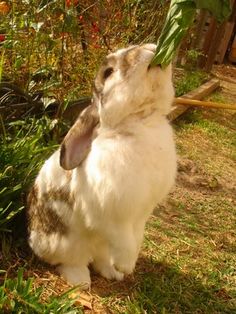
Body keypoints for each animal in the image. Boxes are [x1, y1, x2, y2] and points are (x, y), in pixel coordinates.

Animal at [26, 43, 176, 288]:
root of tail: (32, 239)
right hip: (66, 244)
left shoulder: (141, 214)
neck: (139, 121)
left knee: (100, 259)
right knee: (71, 262)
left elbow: (137, 237)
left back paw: (112, 273)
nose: (149, 48)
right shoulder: (112, 215)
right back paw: (81, 281)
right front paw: (126, 265)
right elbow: (125, 241)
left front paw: (125, 267)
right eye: (108, 73)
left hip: (99, 246)